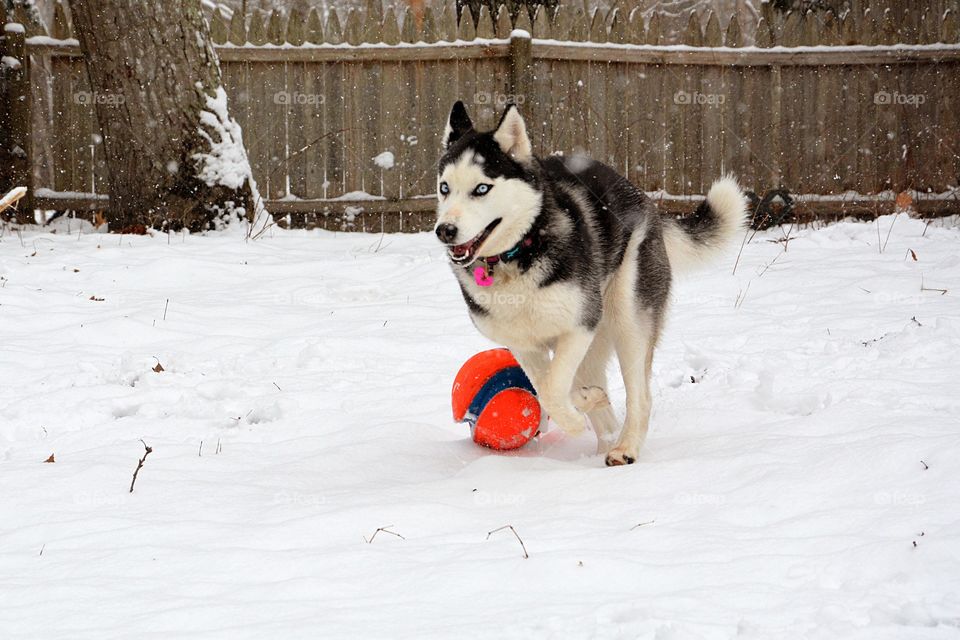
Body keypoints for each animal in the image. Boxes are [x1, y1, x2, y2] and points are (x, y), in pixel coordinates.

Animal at [436, 101, 752, 464]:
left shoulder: (580, 323)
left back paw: (625, 447)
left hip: (627, 318)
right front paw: (585, 403)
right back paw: (605, 438)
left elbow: (553, 390)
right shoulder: (525, 343)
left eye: (482, 188)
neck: (517, 255)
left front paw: (576, 416)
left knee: (639, 395)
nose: (444, 230)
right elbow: (546, 388)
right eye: (444, 188)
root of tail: (642, 197)